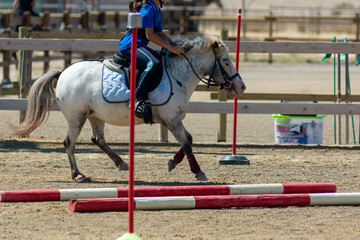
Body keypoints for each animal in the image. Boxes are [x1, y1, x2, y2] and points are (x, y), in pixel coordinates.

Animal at [14, 35, 245, 182]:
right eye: (225, 62)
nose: (241, 87)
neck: (179, 74)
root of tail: (63, 72)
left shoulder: (173, 120)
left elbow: (188, 139)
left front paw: (172, 162)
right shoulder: (172, 120)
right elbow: (187, 144)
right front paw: (198, 172)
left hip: (95, 116)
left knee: (98, 139)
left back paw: (122, 163)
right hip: (76, 117)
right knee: (69, 143)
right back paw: (77, 174)